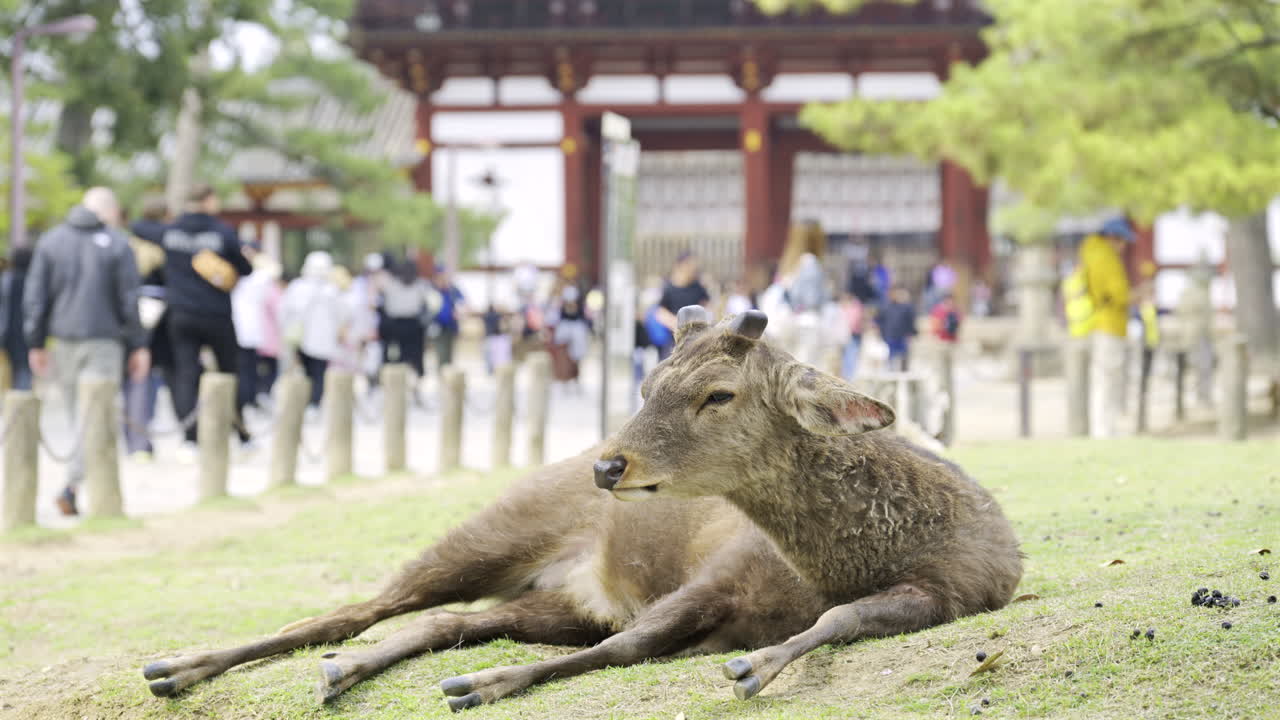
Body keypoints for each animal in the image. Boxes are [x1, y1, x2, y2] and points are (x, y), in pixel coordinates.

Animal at [141, 307, 1023, 712]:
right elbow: (633, 644)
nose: (608, 463)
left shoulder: (957, 591)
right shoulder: (714, 570)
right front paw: (487, 684)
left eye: (718, 393)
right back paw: (179, 665)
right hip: (497, 526)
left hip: (560, 600)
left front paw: (758, 664)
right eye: (647, 383)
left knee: (443, 620)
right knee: (359, 607)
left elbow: (840, 620)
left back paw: (341, 670)